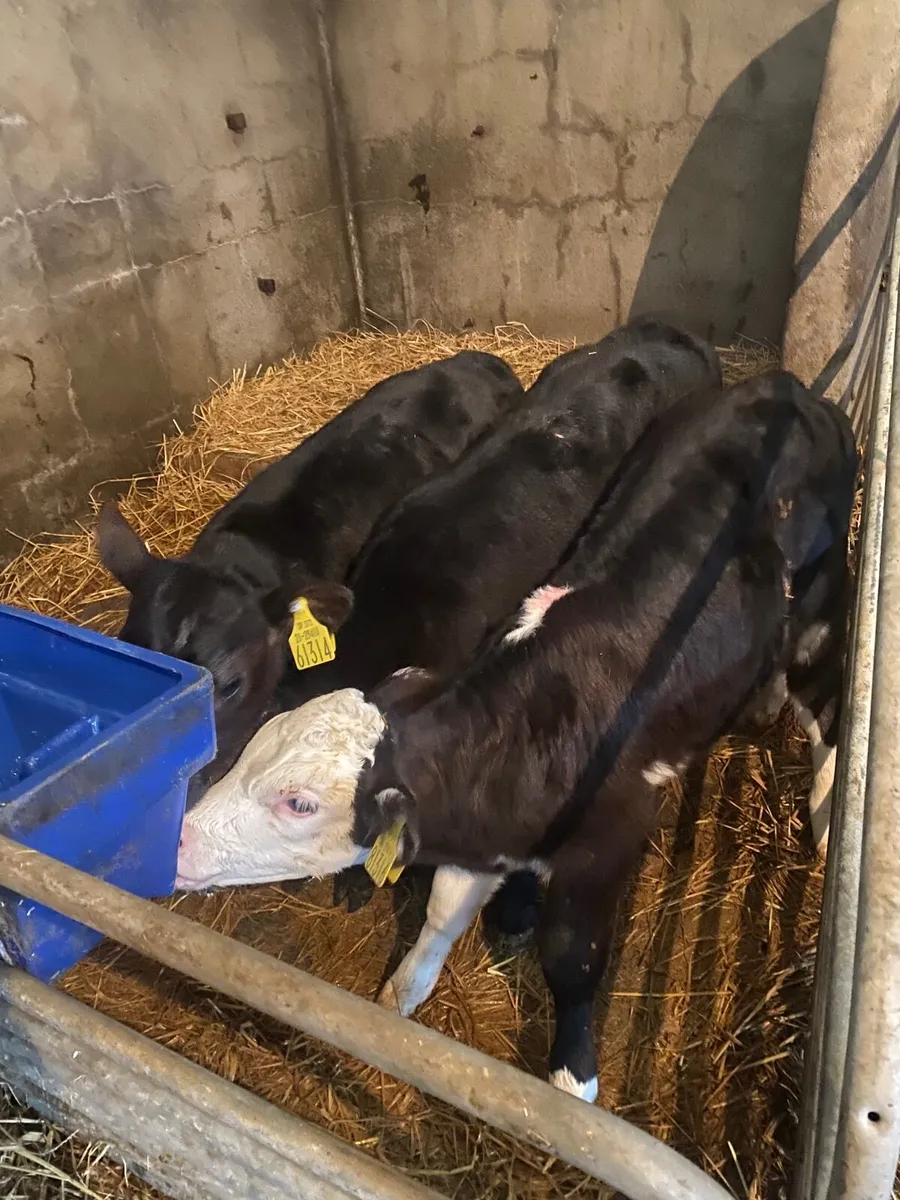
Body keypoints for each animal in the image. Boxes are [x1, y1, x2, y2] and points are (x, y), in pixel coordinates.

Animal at [176, 370, 856, 1103]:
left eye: (299, 803)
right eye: (251, 750)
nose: (177, 839)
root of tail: (785, 386)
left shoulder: (609, 841)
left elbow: (571, 957)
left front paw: (573, 1078)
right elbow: (444, 907)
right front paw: (405, 990)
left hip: (820, 601)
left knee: (827, 701)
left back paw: (825, 811)